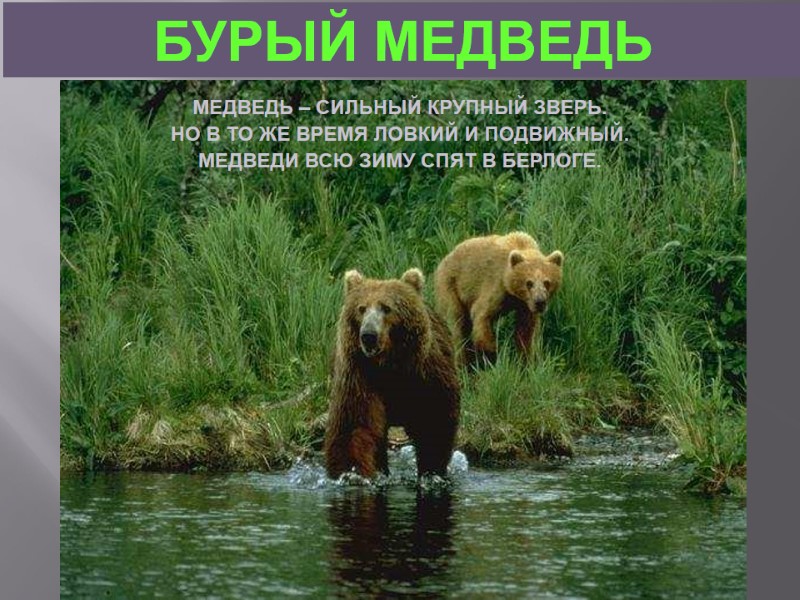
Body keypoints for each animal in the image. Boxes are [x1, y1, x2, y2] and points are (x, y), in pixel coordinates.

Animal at [324, 268, 460, 480]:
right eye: (361, 308)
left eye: (387, 308)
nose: (369, 335)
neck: (389, 368)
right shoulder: (359, 376)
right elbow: (354, 427)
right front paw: (352, 473)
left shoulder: (426, 376)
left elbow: (433, 421)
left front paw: (431, 472)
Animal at [434, 232, 563, 366]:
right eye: (529, 283)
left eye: (547, 282)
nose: (540, 302)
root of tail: (443, 260)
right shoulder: (496, 285)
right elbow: (481, 314)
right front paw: (492, 352)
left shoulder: (525, 304)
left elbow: (525, 331)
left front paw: (526, 360)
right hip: (450, 285)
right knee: (457, 325)